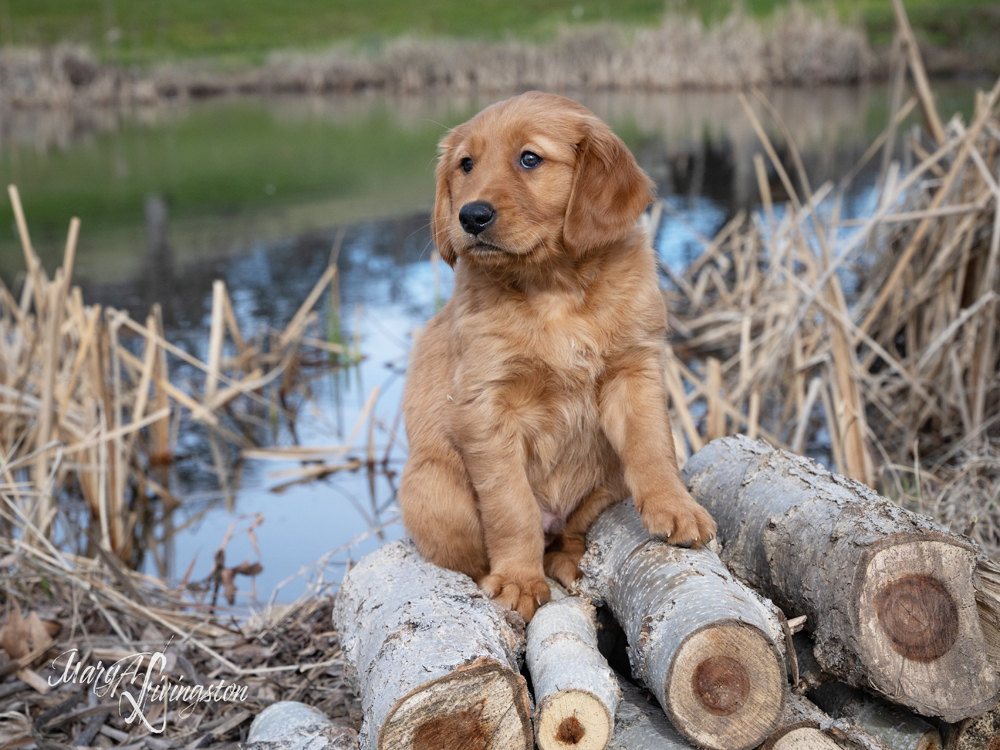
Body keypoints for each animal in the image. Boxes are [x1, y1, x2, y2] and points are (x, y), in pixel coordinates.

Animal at [394, 92, 716, 624]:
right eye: (466, 164)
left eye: (530, 159)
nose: (471, 216)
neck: (554, 285)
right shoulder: (486, 406)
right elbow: (512, 508)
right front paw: (518, 581)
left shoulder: (635, 371)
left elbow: (653, 445)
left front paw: (677, 507)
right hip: (436, 494)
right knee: (482, 551)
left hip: (605, 484)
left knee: (570, 533)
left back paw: (569, 559)